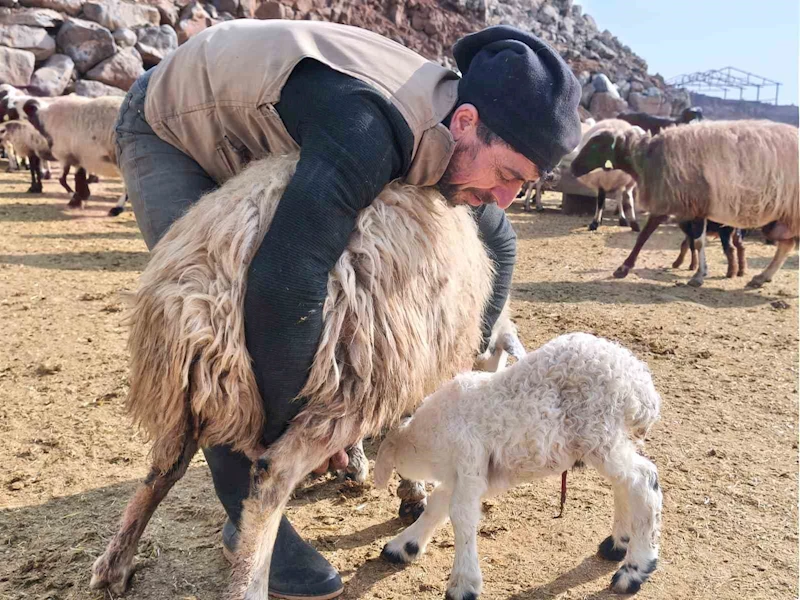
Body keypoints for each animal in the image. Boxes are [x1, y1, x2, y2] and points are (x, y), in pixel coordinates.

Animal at [376, 332, 664, 600]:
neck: (427, 438)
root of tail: (640, 385)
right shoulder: (466, 474)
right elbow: (438, 504)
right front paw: (404, 546)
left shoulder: (469, 462)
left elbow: (461, 515)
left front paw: (463, 584)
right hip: (606, 439)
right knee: (624, 483)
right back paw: (617, 544)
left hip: (597, 432)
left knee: (643, 479)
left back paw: (634, 570)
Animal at [576, 118, 800, 288]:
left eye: (595, 144)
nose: (573, 167)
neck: (647, 158)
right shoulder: (687, 205)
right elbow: (673, 238)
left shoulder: (680, 203)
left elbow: (650, 237)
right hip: (784, 215)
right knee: (786, 244)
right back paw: (761, 277)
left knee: (785, 244)